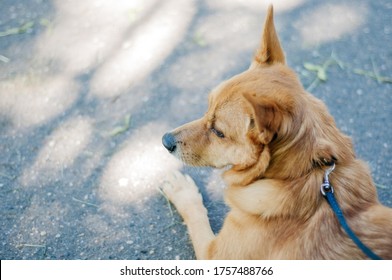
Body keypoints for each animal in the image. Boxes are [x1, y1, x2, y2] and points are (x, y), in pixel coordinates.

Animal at [162, 5, 392, 260]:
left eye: (218, 132)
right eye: (207, 108)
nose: (165, 141)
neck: (301, 173)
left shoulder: (213, 254)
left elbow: (196, 213)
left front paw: (182, 191)